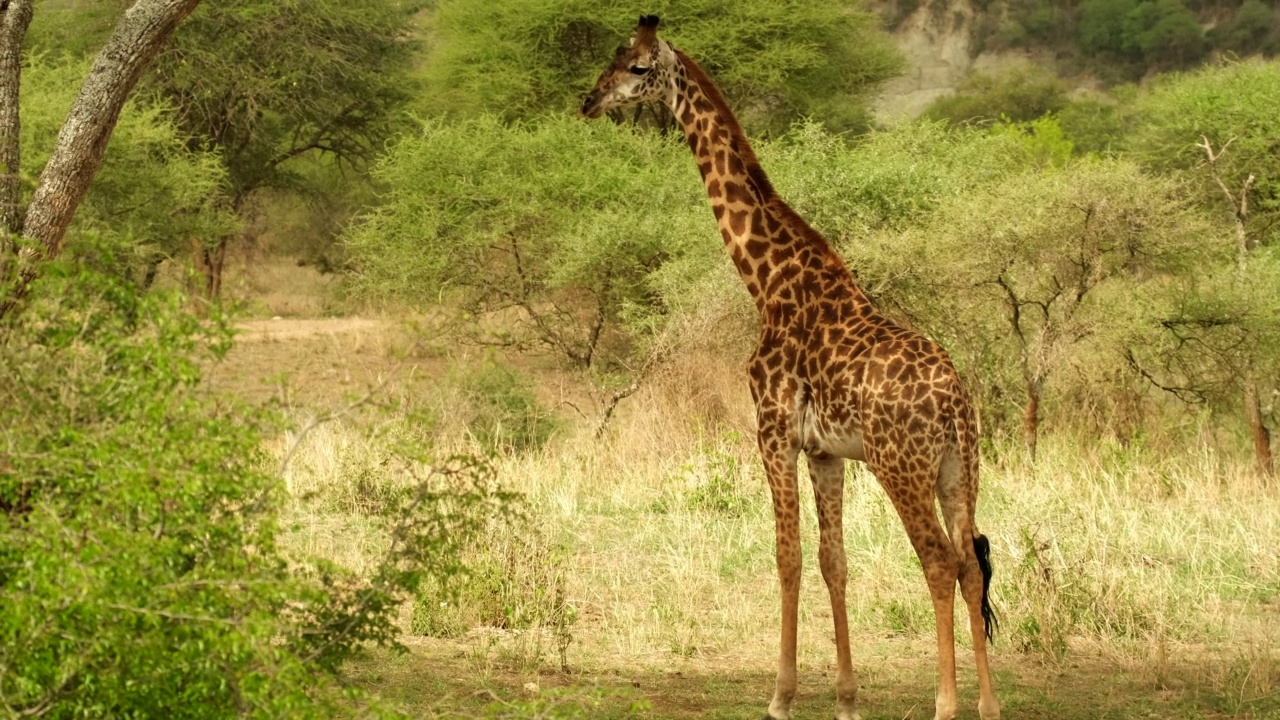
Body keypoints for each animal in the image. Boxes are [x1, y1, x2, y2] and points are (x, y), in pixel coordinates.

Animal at [586, 16, 1003, 717]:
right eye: (612, 57)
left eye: (639, 67)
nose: (590, 100)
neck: (769, 282)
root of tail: (953, 400)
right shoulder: (824, 451)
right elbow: (834, 560)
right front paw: (846, 698)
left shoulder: (772, 431)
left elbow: (787, 555)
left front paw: (780, 697)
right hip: (959, 467)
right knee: (971, 562)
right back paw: (988, 706)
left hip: (901, 465)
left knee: (939, 562)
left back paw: (946, 703)